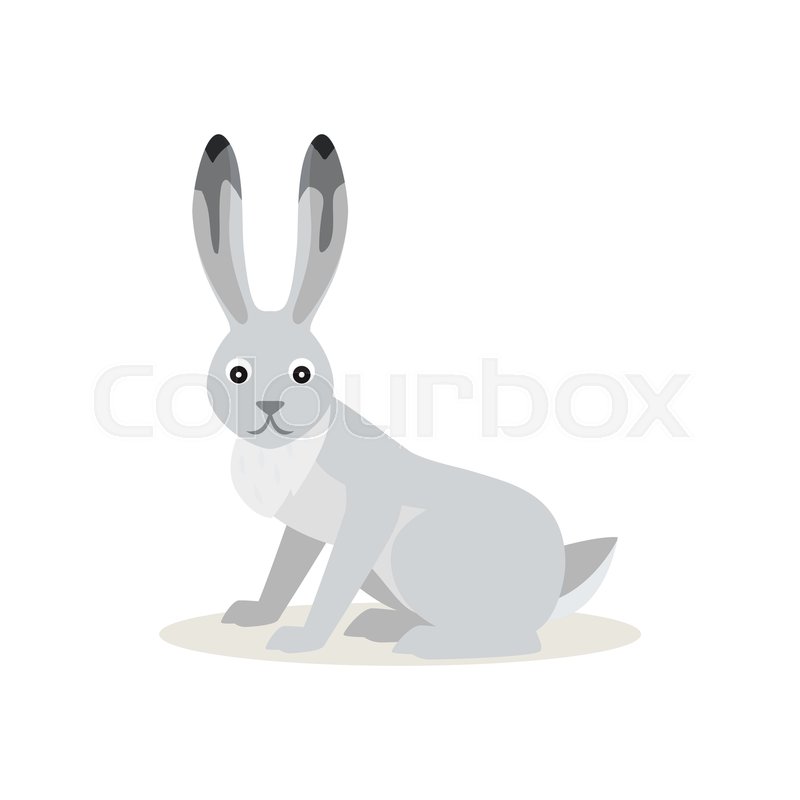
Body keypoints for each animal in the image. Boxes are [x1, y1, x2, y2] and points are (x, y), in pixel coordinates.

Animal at [192, 132, 617, 659]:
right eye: (237, 373)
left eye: (302, 373)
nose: (269, 407)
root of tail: (554, 589)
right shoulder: (304, 533)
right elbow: (284, 574)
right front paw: (254, 615)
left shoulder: (366, 517)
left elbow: (332, 584)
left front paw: (301, 640)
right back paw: (381, 626)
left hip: (412, 549)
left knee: (517, 638)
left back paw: (422, 643)